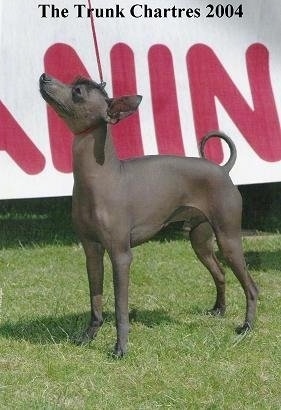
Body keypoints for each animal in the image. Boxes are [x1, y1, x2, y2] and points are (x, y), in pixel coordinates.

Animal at [38, 73, 256, 356]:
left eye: (77, 92)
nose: (45, 77)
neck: (99, 178)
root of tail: (223, 168)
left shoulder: (121, 256)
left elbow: (120, 307)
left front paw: (120, 347)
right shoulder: (92, 251)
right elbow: (95, 300)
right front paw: (88, 336)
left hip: (228, 240)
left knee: (251, 286)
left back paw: (247, 327)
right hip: (200, 240)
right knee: (220, 273)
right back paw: (219, 310)